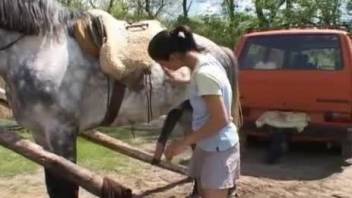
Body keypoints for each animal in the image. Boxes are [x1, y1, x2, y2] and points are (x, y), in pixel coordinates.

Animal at [0, 0, 239, 197]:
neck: (43, 52)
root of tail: (219, 49)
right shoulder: (41, 135)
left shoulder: (62, 133)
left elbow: (67, 186)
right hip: (190, 117)